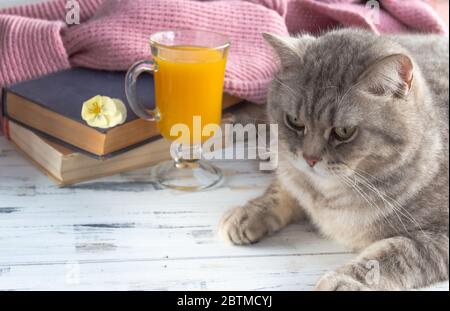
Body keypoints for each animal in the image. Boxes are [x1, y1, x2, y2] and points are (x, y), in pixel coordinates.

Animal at [220, 28, 448, 292]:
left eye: (344, 131)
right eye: (295, 121)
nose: (309, 158)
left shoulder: (438, 238)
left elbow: (394, 255)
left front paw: (344, 280)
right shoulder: (293, 173)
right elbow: (282, 190)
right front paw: (247, 213)